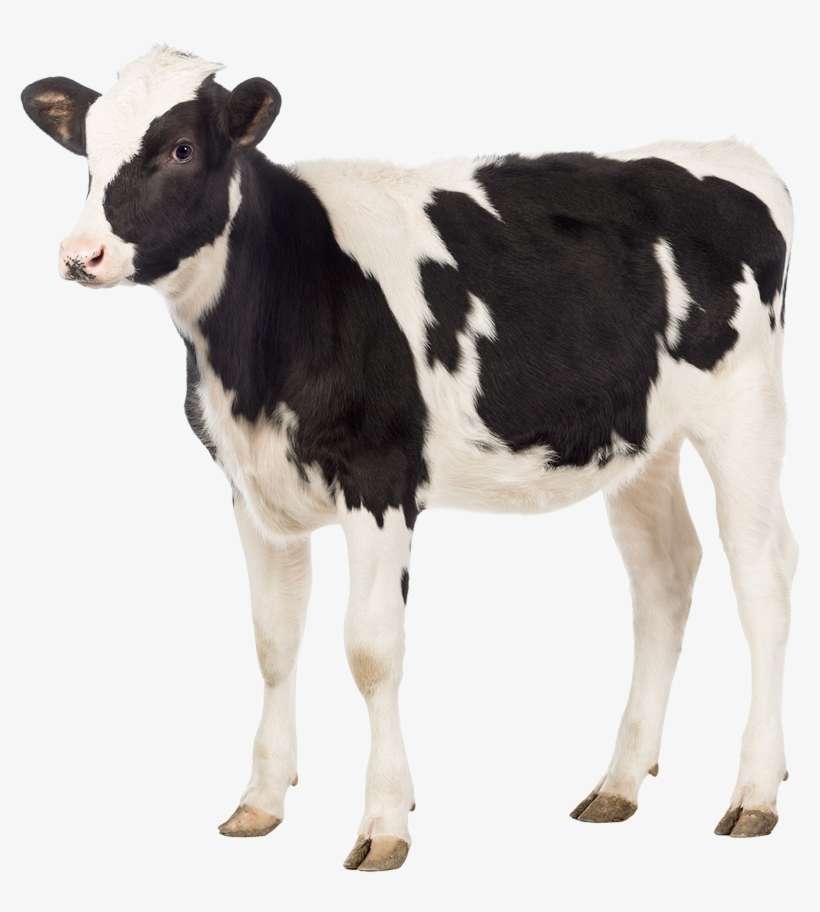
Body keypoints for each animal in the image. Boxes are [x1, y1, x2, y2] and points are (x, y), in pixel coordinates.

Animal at [21, 46, 796, 871]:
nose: (80, 256)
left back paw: (755, 792)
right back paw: (619, 784)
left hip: (745, 408)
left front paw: (385, 822)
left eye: (181, 149)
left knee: (762, 575)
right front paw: (260, 802)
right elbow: (272, 642)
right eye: (88, 149)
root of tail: (733, 155)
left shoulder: (380, 477)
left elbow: (370, 650)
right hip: (642, 438)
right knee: (664, 575)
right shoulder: (251, 487)